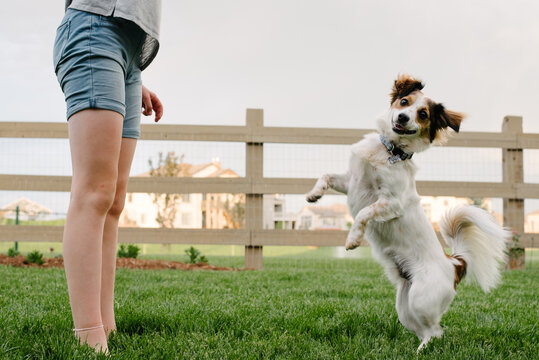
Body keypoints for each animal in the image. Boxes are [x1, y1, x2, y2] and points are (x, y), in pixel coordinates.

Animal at [308, 74, 510, 352]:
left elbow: (363, 213)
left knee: (436, 331)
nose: (403, 117)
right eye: (404, 102)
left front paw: (352, 239)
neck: (389, 151)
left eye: (422, 114)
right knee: (426, 330)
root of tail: (453, 263)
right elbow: (326, 175)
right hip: (405, 306)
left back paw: (421, 352)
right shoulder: (351, 183)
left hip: (420, 299)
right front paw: (314, 194)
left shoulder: (391, 203)